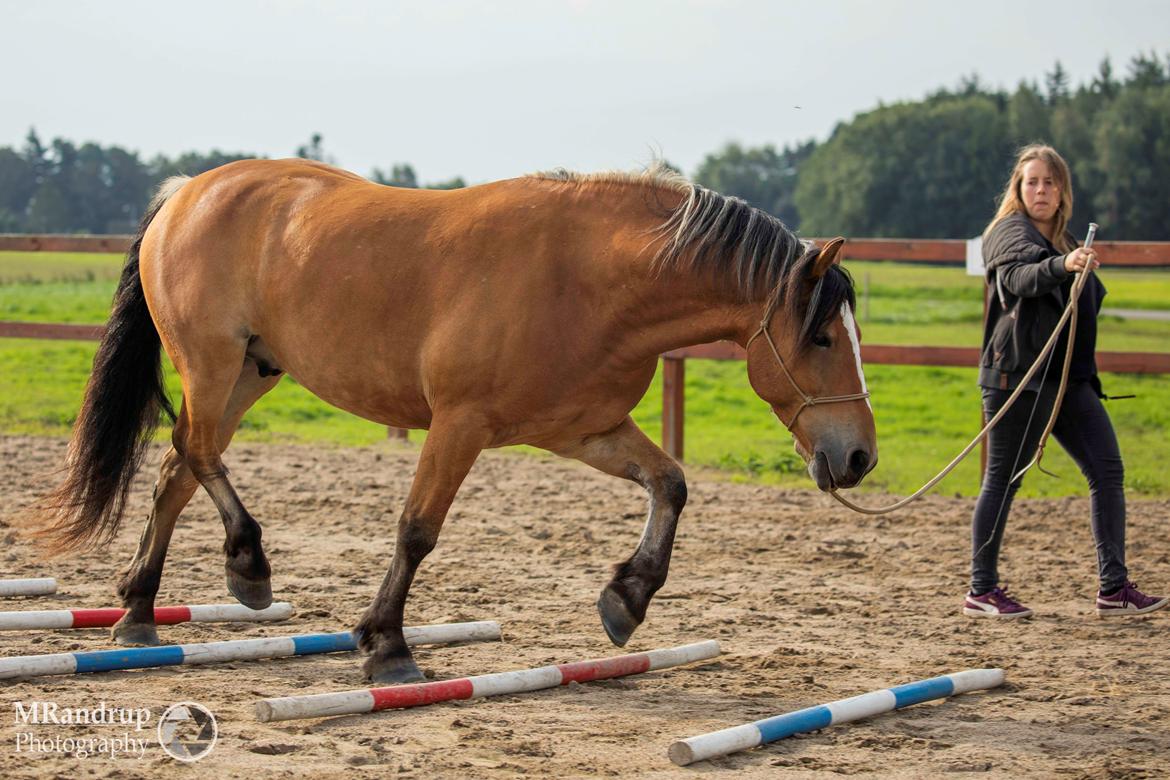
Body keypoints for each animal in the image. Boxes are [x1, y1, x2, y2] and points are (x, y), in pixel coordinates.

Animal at [36, 160, 875, 682]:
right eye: (822, 338)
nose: (860, 457)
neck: (590, 278)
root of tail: (188, 191)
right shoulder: (459, 425)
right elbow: (417, 530)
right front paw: (386, 646)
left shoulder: (584, 431)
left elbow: (671, 486)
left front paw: (626, 599)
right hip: (212, 367)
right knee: (195, 453)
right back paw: (247, 563)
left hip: (249, 373)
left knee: (178, 472)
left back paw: (139, 612)